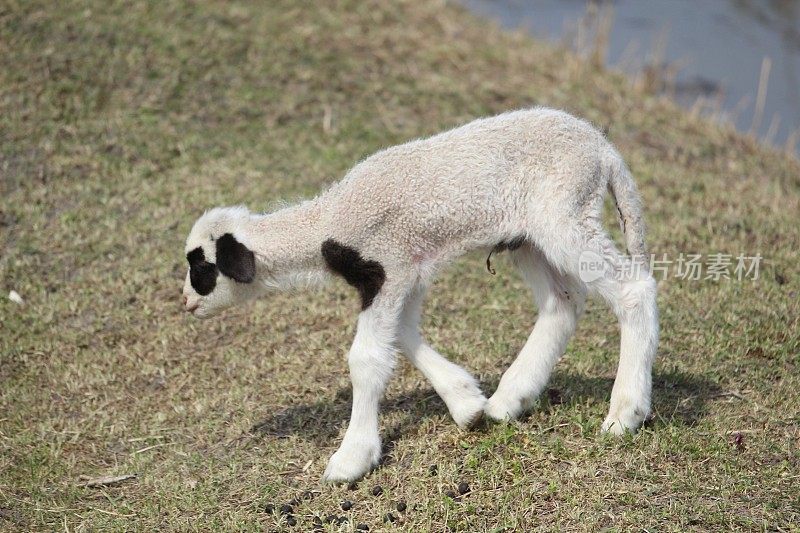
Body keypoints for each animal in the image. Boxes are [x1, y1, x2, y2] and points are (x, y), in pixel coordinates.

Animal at [184, 108, 660, 482]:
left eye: (202, 265)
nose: (186, 303)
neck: (327, 224)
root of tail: (605, 150)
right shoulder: (406, 272)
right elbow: (403, 334)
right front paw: (466, 404)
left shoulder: (387, 266)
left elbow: (366, 359)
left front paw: (351, 459)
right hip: (527, 236)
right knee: (563, 300)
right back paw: (508, 401)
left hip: (564, 213)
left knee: (633, 288)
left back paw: (625, 413)